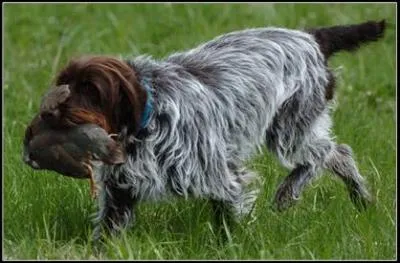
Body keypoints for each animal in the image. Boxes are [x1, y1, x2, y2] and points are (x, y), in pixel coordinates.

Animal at [23, 19, 386, 240]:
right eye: (63, 82)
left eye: (91, 89)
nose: (48, 111)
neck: (149, 123)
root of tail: (311, 37)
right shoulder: (120, 193)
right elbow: (108, 232)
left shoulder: (222, 176)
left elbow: (231, 215)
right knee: (338, 154)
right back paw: (361, 199)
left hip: (289, 129)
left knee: (325, 153)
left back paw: (290, 192)